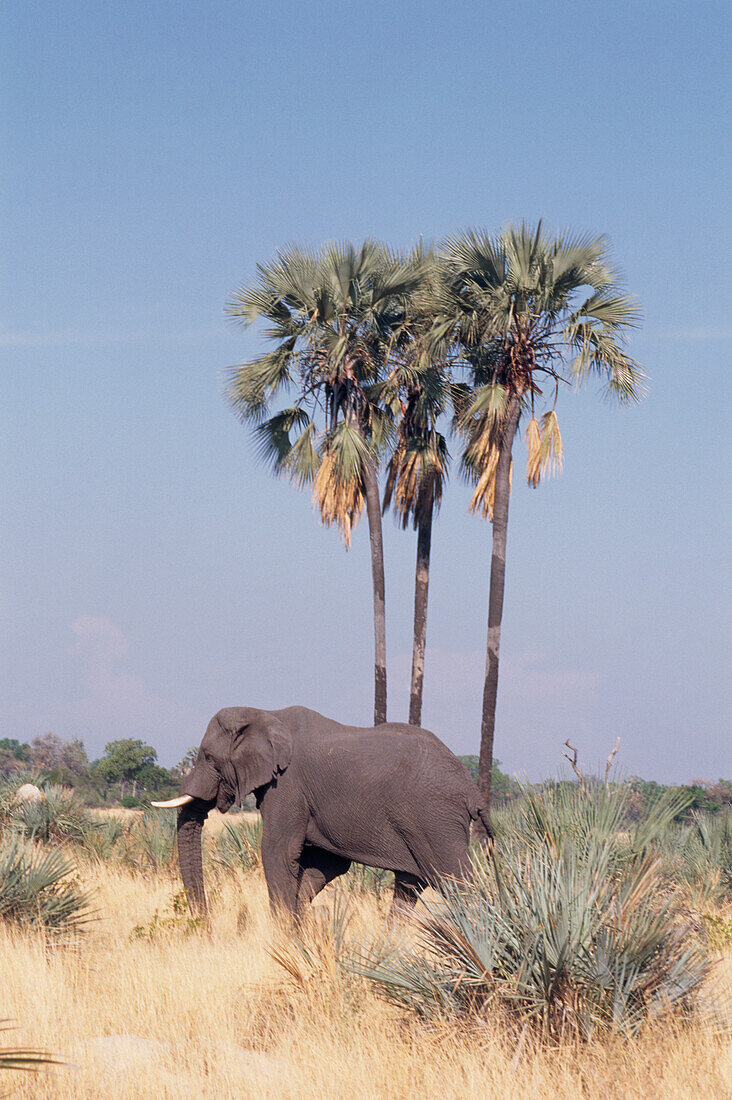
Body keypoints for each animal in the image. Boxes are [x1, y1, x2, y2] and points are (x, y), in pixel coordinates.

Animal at [150, 704, 490, 919]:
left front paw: (285, 940)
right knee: (409, 886)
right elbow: (328, 863)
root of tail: (471, 787)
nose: (205, 926)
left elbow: (277, 851)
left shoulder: (287, 787)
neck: (265, 713)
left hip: (435, 818)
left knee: (456, 882)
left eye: (208, 757)